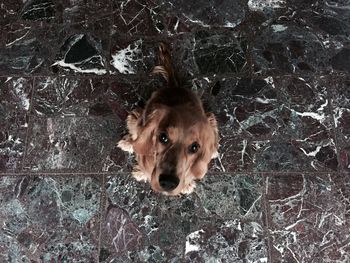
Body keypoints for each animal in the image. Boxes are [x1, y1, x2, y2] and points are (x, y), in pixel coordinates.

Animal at [117, 43, 219, 196]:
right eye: (163, 137)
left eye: (195, 147)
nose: (168, 183)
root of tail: (174, 86)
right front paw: (141, 173)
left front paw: (187, 184)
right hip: (136, 118)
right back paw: (127, 143)